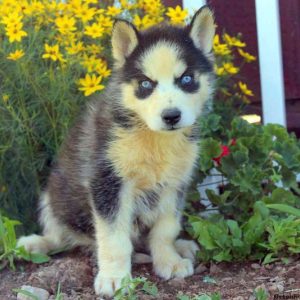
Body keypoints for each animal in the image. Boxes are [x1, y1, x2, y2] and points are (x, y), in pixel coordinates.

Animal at [17, 5, 216, 298]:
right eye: (146, 84)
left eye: (187, 79)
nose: (171, 116)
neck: (152, 138)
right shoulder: (108, 183)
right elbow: (114, 240)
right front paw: (114, 278)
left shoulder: (173, 183)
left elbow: (165, 229)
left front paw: (168, 260)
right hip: (51, 197)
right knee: (60, 234)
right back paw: (36, 243)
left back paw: (182, 246)